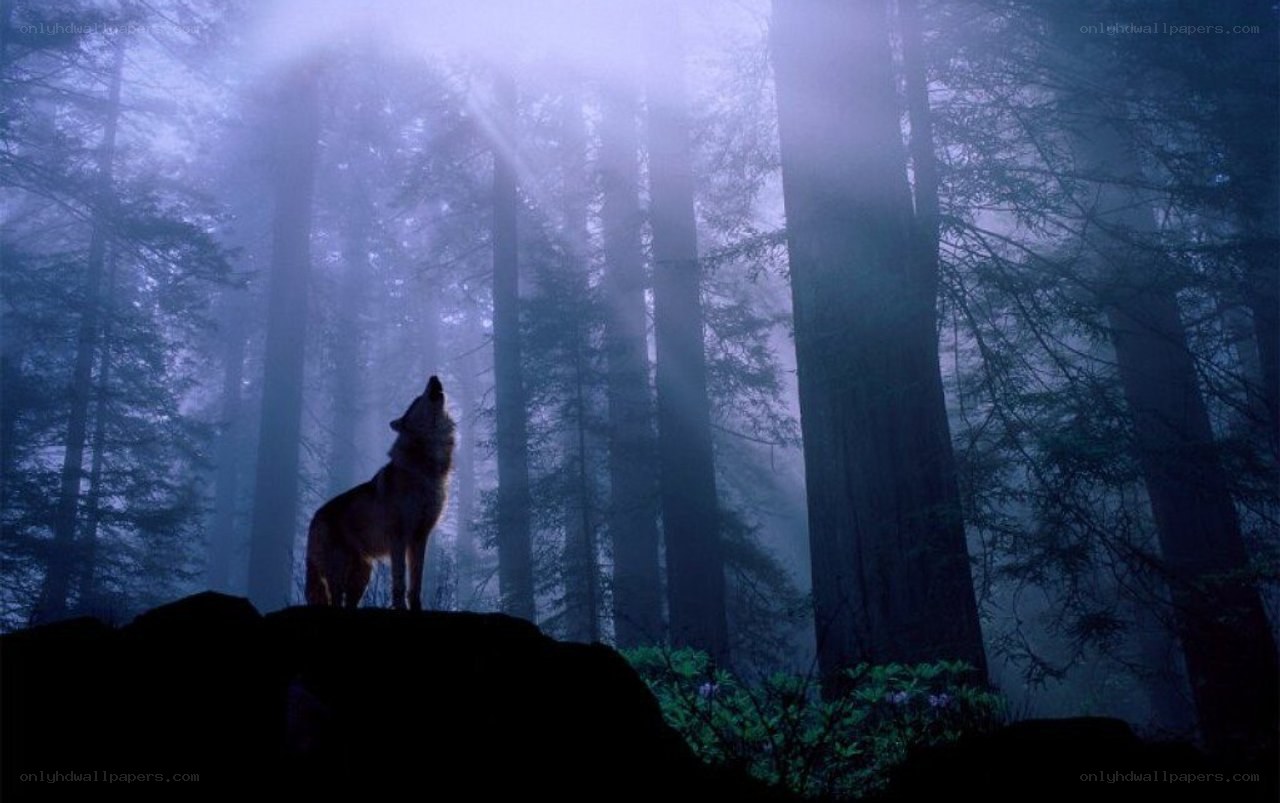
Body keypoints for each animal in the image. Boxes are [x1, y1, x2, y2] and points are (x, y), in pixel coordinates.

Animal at [305, 375, 456, 610]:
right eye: (417, 399)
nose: (434, 376)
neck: (426, 469)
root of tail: (314, 517)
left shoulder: (420, 537)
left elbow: (416, 583)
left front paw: (416, 608)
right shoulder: (398, 538)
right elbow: (400, 582)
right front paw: (401, 608)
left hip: (362, 577)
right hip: (338, 574)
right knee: (335, 601)